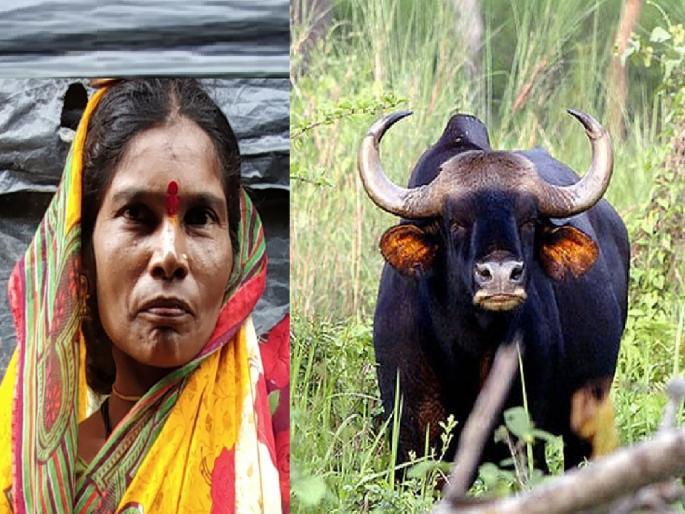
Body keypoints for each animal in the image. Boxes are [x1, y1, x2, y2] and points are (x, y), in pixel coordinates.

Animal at [357, 110, 629, 473]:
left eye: (529, 220)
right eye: (455, 222)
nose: (500, 275)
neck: (468, 346)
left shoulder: (522, 433)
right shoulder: (411, 436)